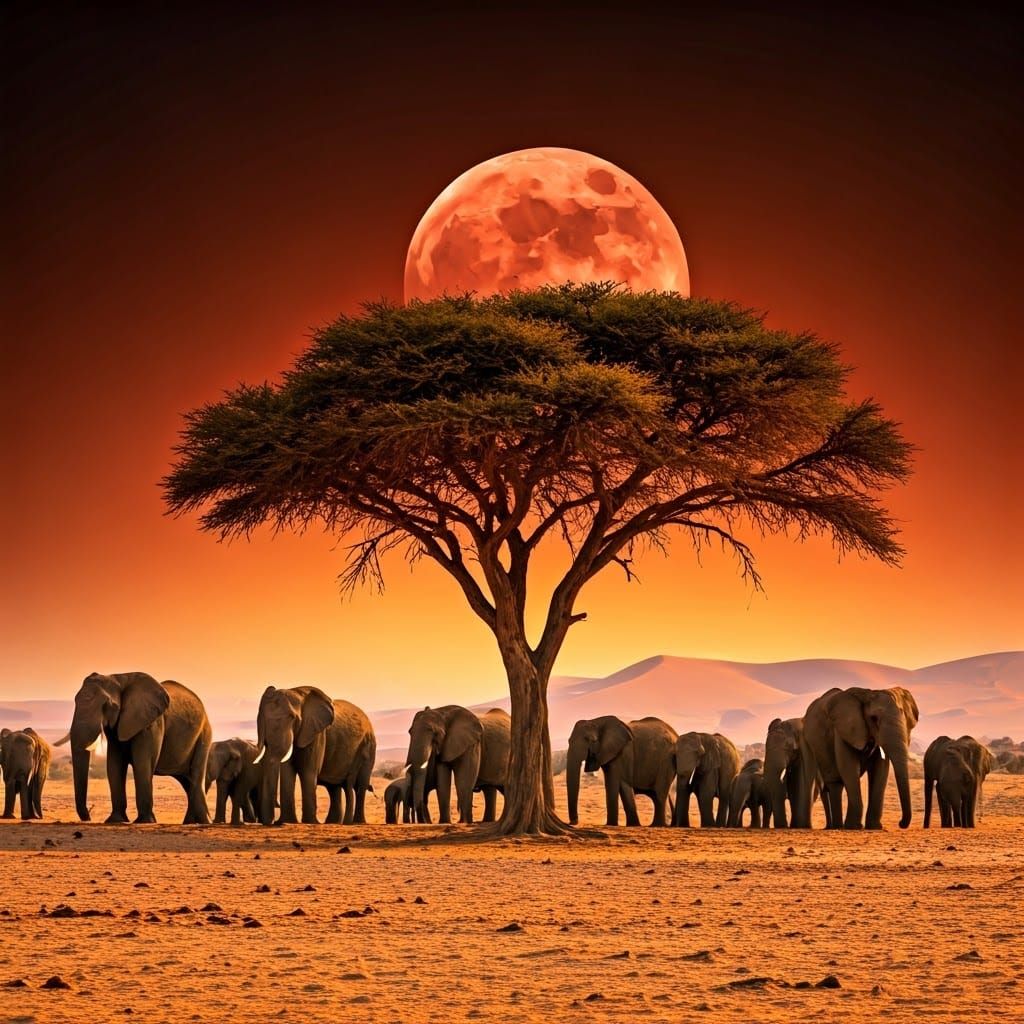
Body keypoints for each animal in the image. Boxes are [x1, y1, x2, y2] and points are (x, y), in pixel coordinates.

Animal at [57, 671, 212, 824]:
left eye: (107, 705)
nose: (89, 817)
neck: (118, 678)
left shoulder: (151, 723)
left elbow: (142, 763)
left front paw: (144, 821)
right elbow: (114, 764)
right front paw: (115, 821)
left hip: (204, 736)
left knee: (195, 777)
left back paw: (202, 822)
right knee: (187, 781)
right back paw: (193, 822)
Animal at [254, 686, 376, 825]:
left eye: (292, 718)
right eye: (259, 717)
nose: (272, 822)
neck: (297, 693)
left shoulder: (316, 733)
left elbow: (309, 771)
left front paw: (310, 822)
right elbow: (287, 771)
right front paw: (287, 821)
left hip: (369, 746)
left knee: (360, 785)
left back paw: (358, 822)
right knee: (333, 788)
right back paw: (332, 823)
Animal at [803, 686, 919, 830]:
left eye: (903, 714)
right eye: (874, 718)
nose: (900, 823)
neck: (867, 695)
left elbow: (880, 770)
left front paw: (875, 827)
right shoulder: (845, 729)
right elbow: (849, 766)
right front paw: (854, 826)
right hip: (811, 743)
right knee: (834, 782)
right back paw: (837, 826)